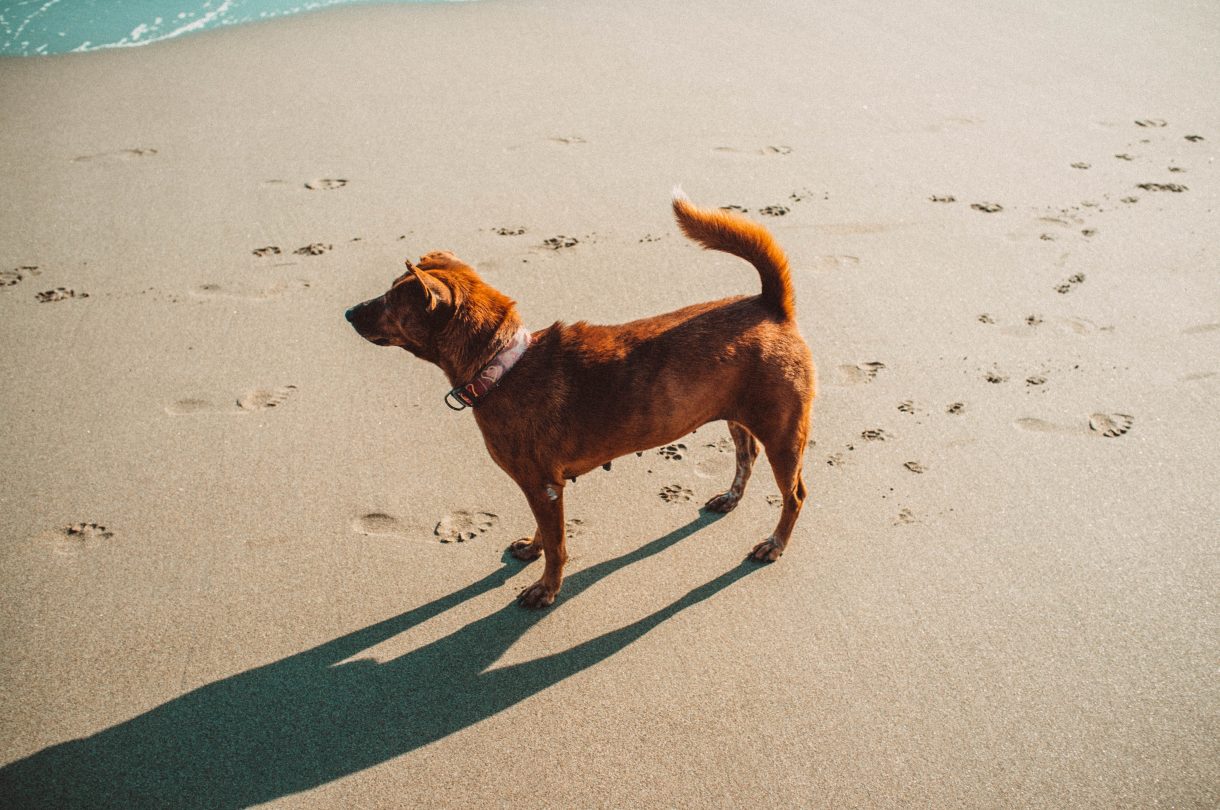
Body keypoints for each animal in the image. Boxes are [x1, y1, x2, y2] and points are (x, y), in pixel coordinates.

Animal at [344, 190, 814, 607]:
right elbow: (544, 534)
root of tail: (770, 305)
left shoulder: (542, 486)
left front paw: (545, 589)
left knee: (794, 495)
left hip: (784, 433)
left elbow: (557, 546)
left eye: (389, 302)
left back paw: (774, 544)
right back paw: (730, 498)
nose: (348, 312)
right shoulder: (544, 488)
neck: (503, 363)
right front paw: (531, 549)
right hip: (739, 416)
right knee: (746, 457)